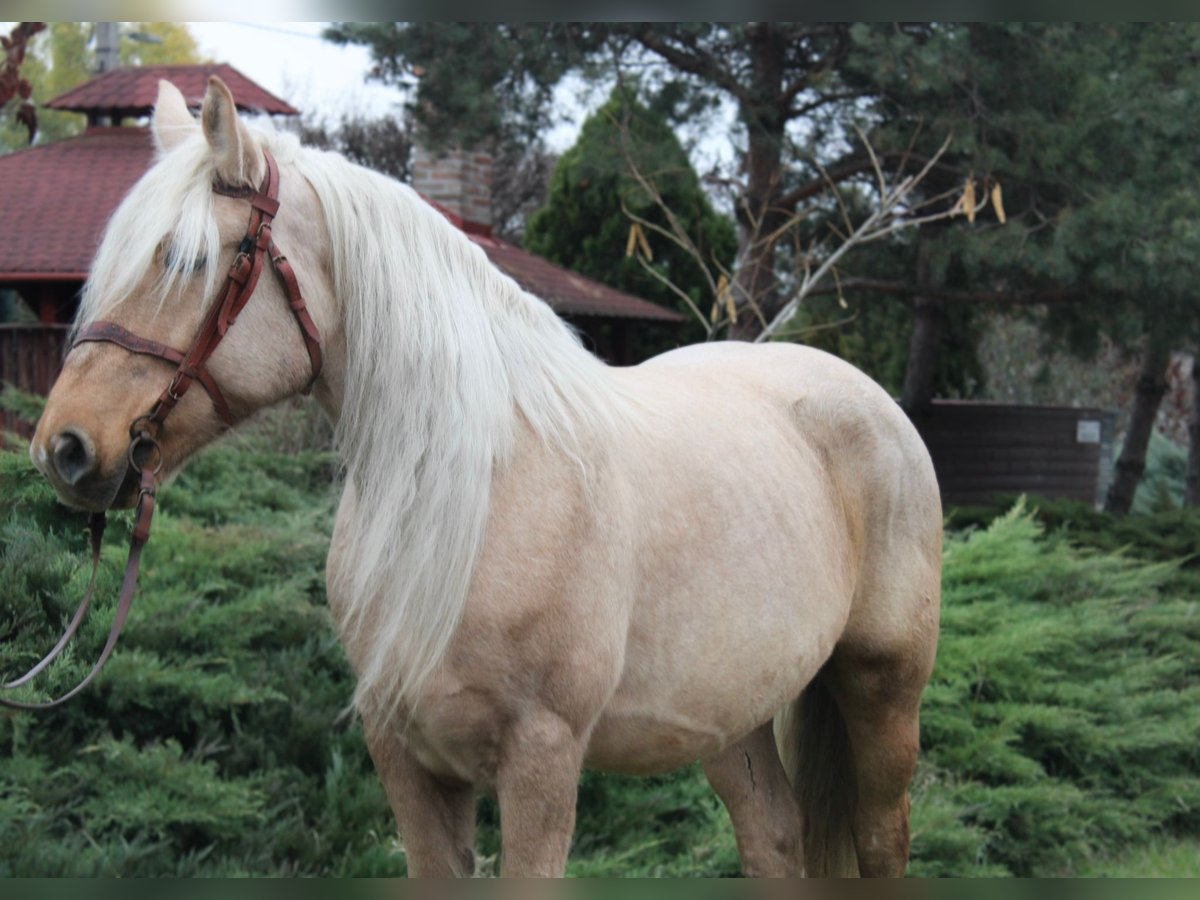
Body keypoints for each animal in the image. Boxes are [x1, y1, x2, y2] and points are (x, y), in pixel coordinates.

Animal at [28, 77, 942, 877]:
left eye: (185, 261)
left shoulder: (541, 758)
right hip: (731, 716)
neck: (473, 496)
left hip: (882, 692)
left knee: (882, 839)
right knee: (774, 837)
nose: (64, 448)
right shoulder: (407, 756)